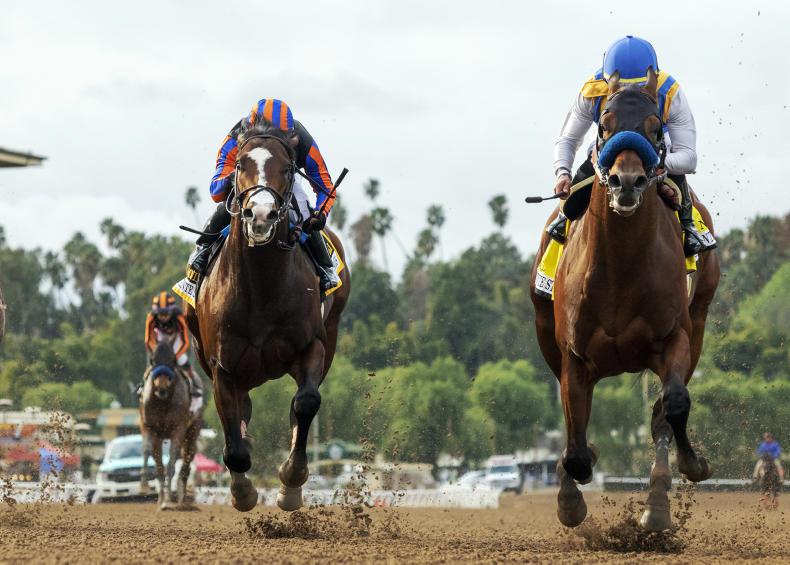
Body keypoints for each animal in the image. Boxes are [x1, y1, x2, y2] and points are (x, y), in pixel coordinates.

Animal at [139, 329, 202, 509]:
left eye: (173, 360)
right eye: (153, 360)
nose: (162, 387)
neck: (163, 401)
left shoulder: (178, 429)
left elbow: (172, 463)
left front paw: (169, 499)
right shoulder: (149, 427)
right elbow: (151, 456)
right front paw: (148, 488)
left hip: (193, 431)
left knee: (186, 462)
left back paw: (181, 498)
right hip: (160, 437)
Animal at [185, 120, 350, 513]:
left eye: (288, 168)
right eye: (240, 164)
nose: (260, 215)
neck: (260, 285)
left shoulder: (312, 347)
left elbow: (306, 403)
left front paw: (291, 480)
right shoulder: (221, 367)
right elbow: (233, 438)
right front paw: (242, 491)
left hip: (331, 336)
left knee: (297, 407)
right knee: (241, 413)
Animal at [529, 68, 720, 532]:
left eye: (654, 128)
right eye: (604, 125)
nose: (627, 182)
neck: (620, 267)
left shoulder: (675, 337)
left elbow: (673, 404)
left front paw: (686, 472)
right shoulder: (573, 355)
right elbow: (575, 440)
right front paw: (571, 497)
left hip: (699, 318)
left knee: (664, 413)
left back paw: (663, 496)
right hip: (546, 334)